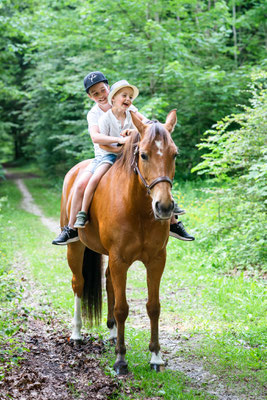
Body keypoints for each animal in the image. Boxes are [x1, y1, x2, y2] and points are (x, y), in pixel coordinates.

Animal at [59, 110, 179, 376]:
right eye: (143, 154)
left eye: (174, 154)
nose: (165, 207)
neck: (138, 208)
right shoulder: (119, 259)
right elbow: (123, 308)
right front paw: (121, 360)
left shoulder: (156, 260)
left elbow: (153, 306)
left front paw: (156, 357)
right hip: (76, 248)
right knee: (78, 284)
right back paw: (77, 334)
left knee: (107, 282)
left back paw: (113, 333)